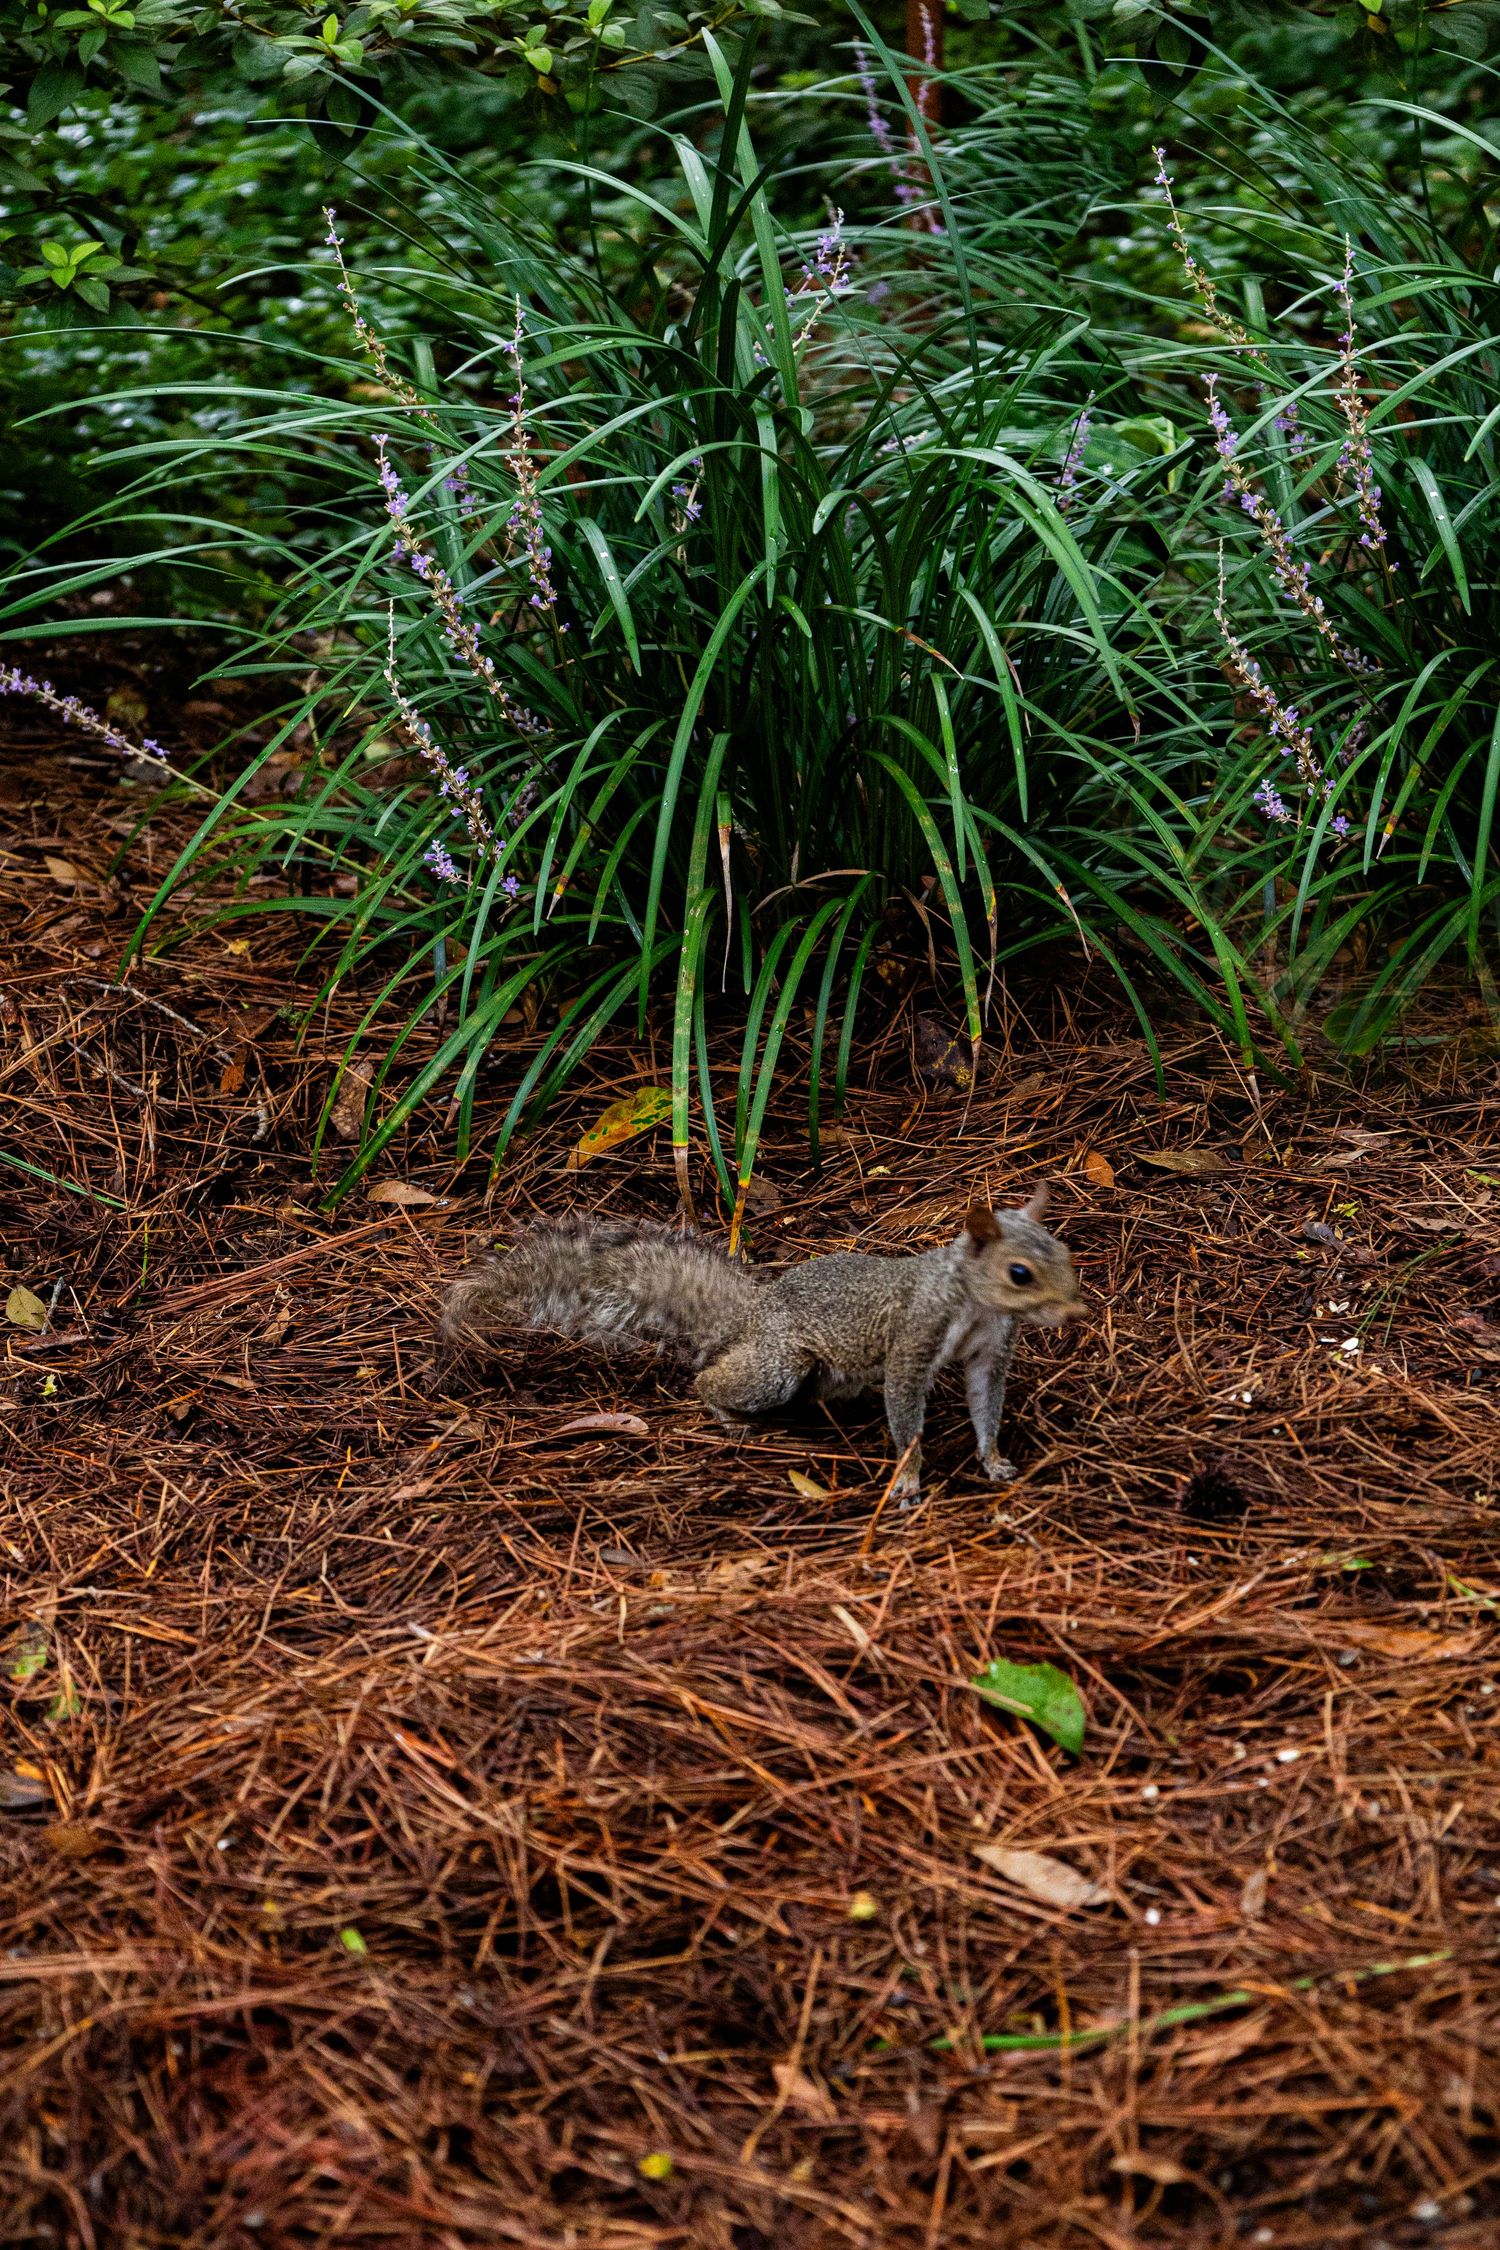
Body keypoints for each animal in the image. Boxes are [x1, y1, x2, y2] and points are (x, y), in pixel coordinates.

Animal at [440, 1191, 1083, 1504]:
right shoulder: (914, 1339)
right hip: (779, 1364)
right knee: (709, 1382)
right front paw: (908, 1478)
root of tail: (752, 1316)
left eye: (1064, 1252)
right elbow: (905, 1407)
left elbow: (985, 1402)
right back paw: (728, 1417)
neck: (975, 1305)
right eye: (1019, 1273)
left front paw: (992, 1458)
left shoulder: (990, 1352)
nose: (1074, 1311)